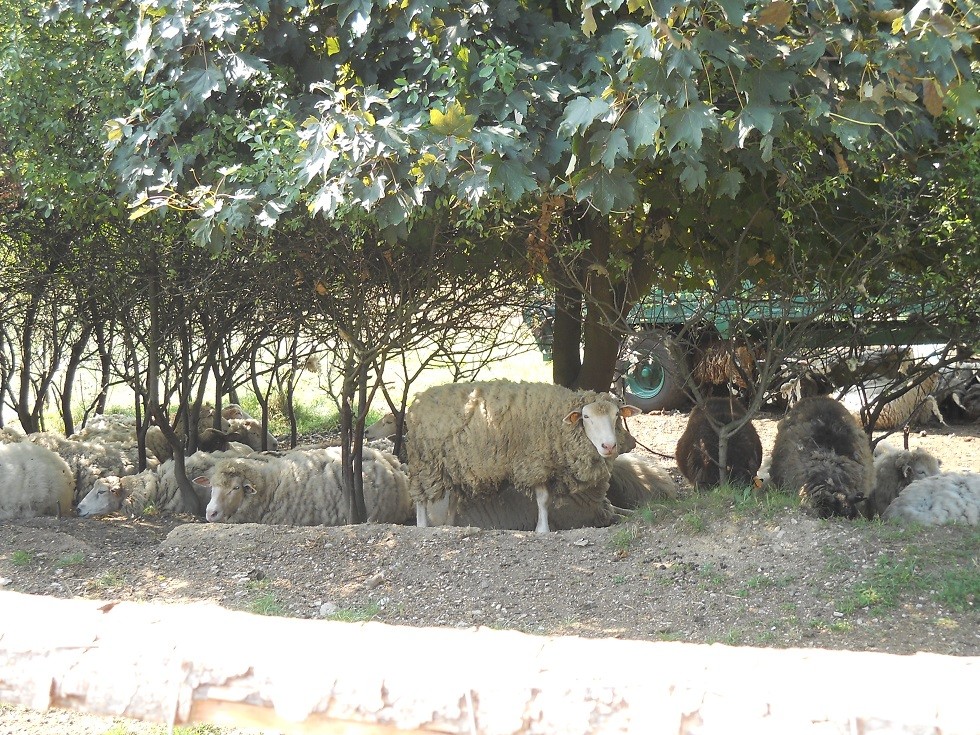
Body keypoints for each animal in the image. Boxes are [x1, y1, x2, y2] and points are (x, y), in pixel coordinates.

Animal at [408, 380, 644, 536]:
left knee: (452, 500)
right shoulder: (534, 464)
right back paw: (422, 526)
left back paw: (450, 526)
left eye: (616, 415)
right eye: (586, 417)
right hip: (424, 464)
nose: (609, 446)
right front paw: (542, 530)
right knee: (421, 499)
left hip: (454, 467)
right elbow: (543, 500)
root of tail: (420, 399)